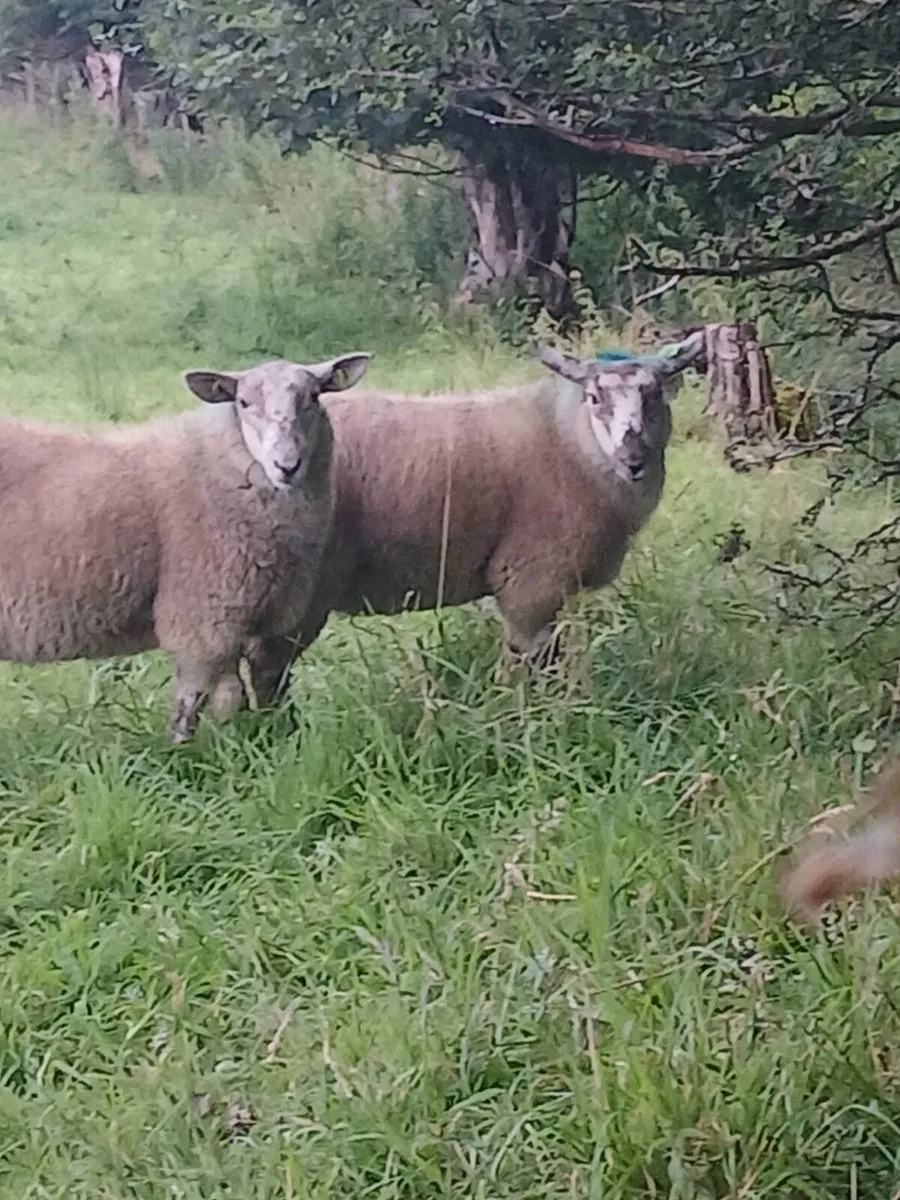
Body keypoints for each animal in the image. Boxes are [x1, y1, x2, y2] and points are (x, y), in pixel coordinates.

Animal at [0, 352, 370, 742]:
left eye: (314, 396)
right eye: (243, 402)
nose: (287, 465)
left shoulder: (254, 619)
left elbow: (254, 687)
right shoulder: (202, 616)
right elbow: (205, 698)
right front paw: (191, 748)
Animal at [244, 332, 706, 704]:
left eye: (656, 396)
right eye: (595, 398)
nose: (634, 460)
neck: (571, 443)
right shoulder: (530, 581)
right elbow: (527, 665)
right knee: (265, 668)